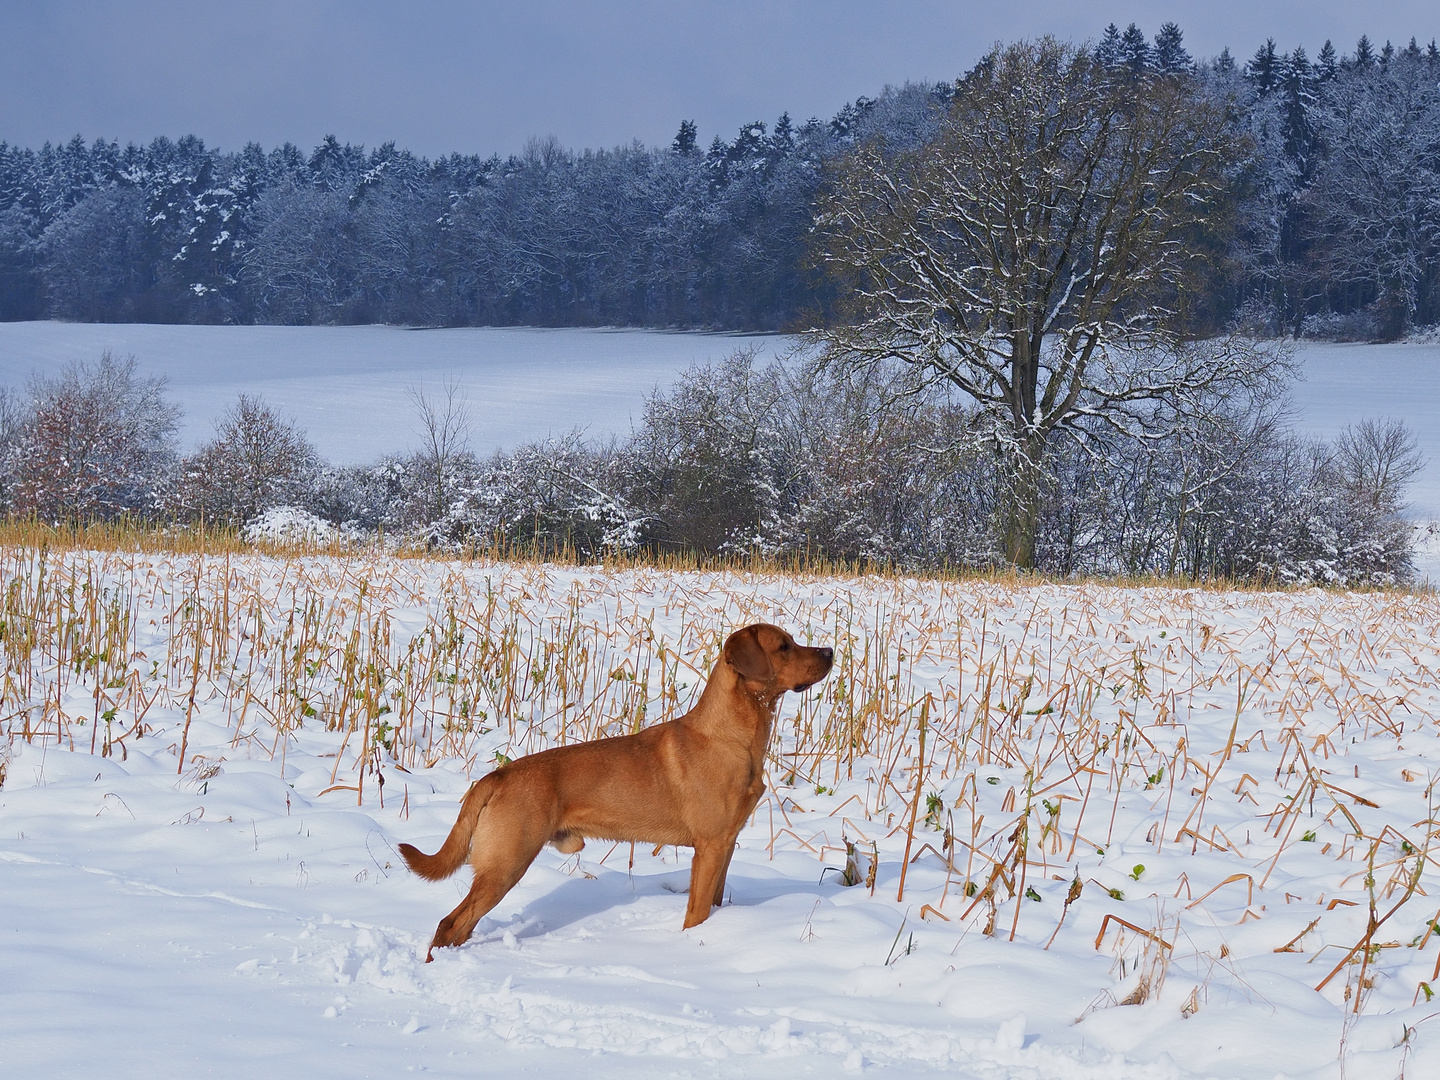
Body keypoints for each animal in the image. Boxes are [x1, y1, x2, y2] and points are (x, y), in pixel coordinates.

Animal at [400, 624, 840, 961]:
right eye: (783, 646)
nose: (831, 650)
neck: (733, 737)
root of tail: (498, 775)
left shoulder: (726, 844)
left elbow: (713, 904)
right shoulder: (711, 846)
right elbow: (696, 913)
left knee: (460, 927)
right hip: (506, 863)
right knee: (450, 924)